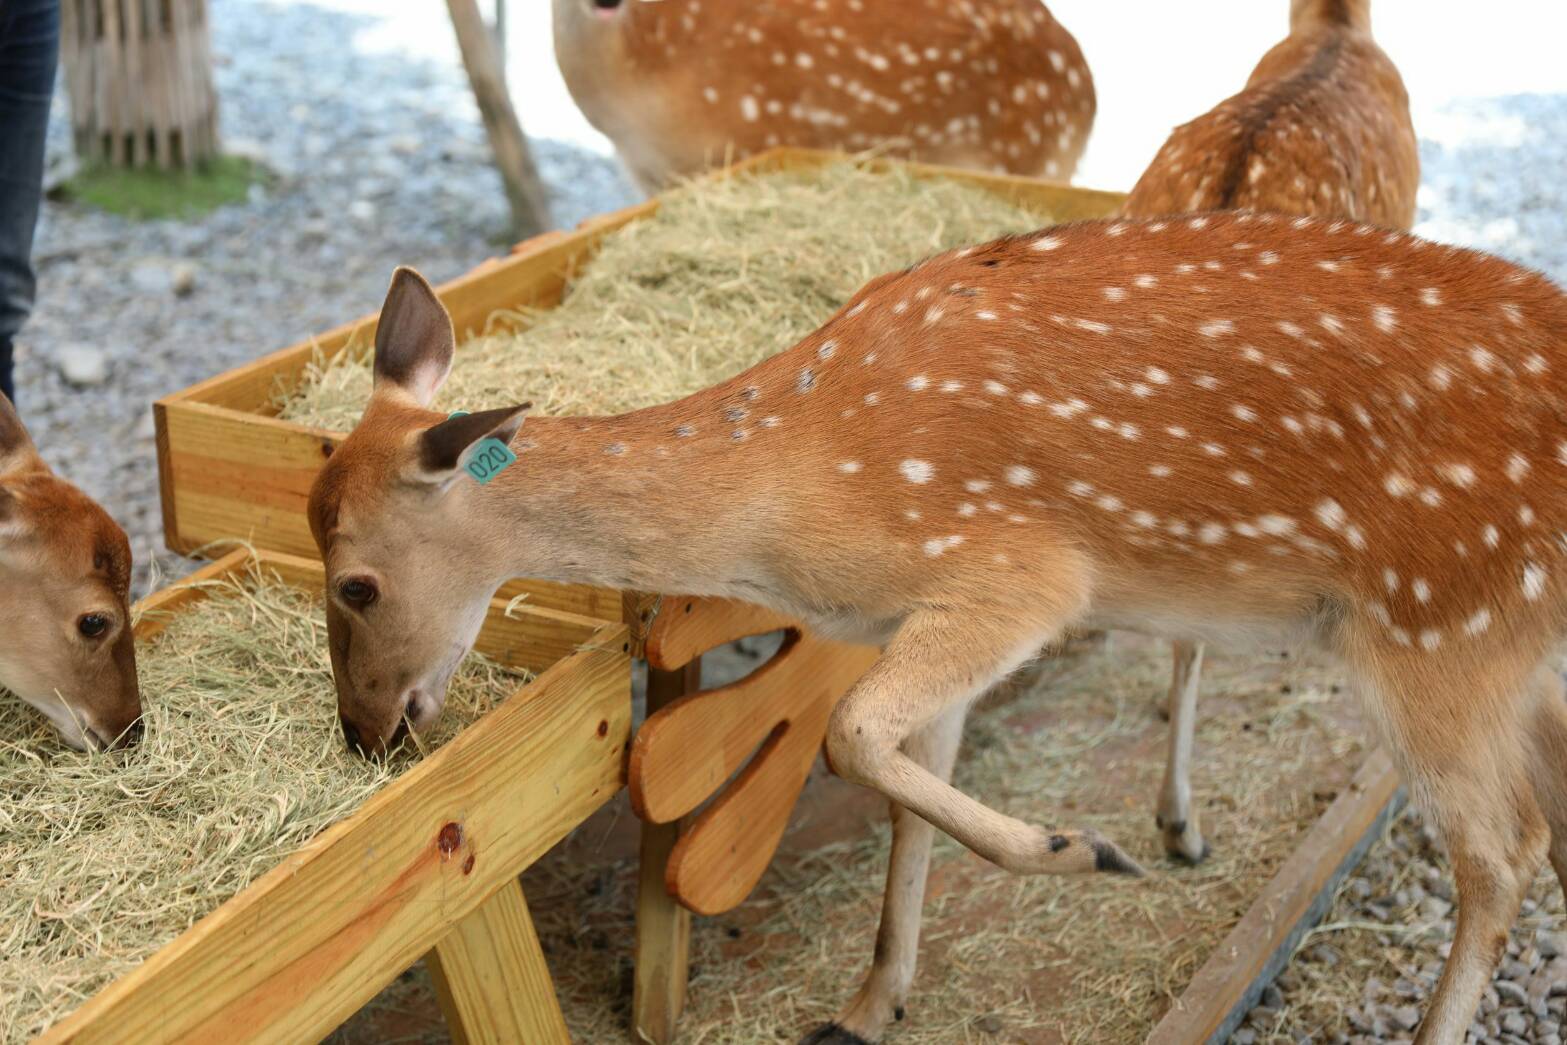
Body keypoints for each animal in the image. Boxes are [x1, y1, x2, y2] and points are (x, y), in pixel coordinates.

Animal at [311, 203, 1567, 1040]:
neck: (801, 490)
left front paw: (1080, 849)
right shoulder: (939, 616)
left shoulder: (1019, 573)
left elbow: (849, 733)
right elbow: (907, 792)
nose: (364, 733)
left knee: (1501, 852)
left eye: (353, 583)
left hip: (1437, 626)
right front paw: (869, 1003)